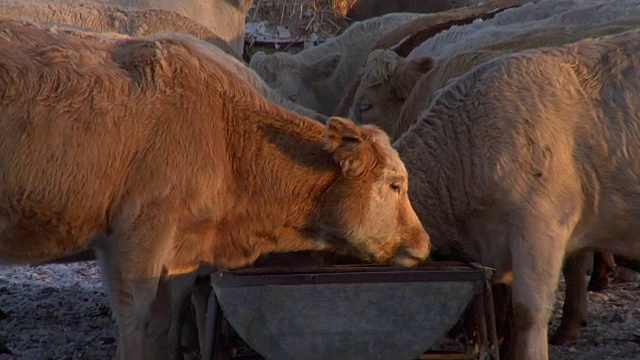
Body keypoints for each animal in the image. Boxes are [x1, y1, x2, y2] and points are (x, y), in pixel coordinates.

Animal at [0, 17, 430, 360]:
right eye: (394, 184)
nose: (425, 244)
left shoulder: (181, 257)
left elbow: (165, 323)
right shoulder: (136, 235)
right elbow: (136, 321)